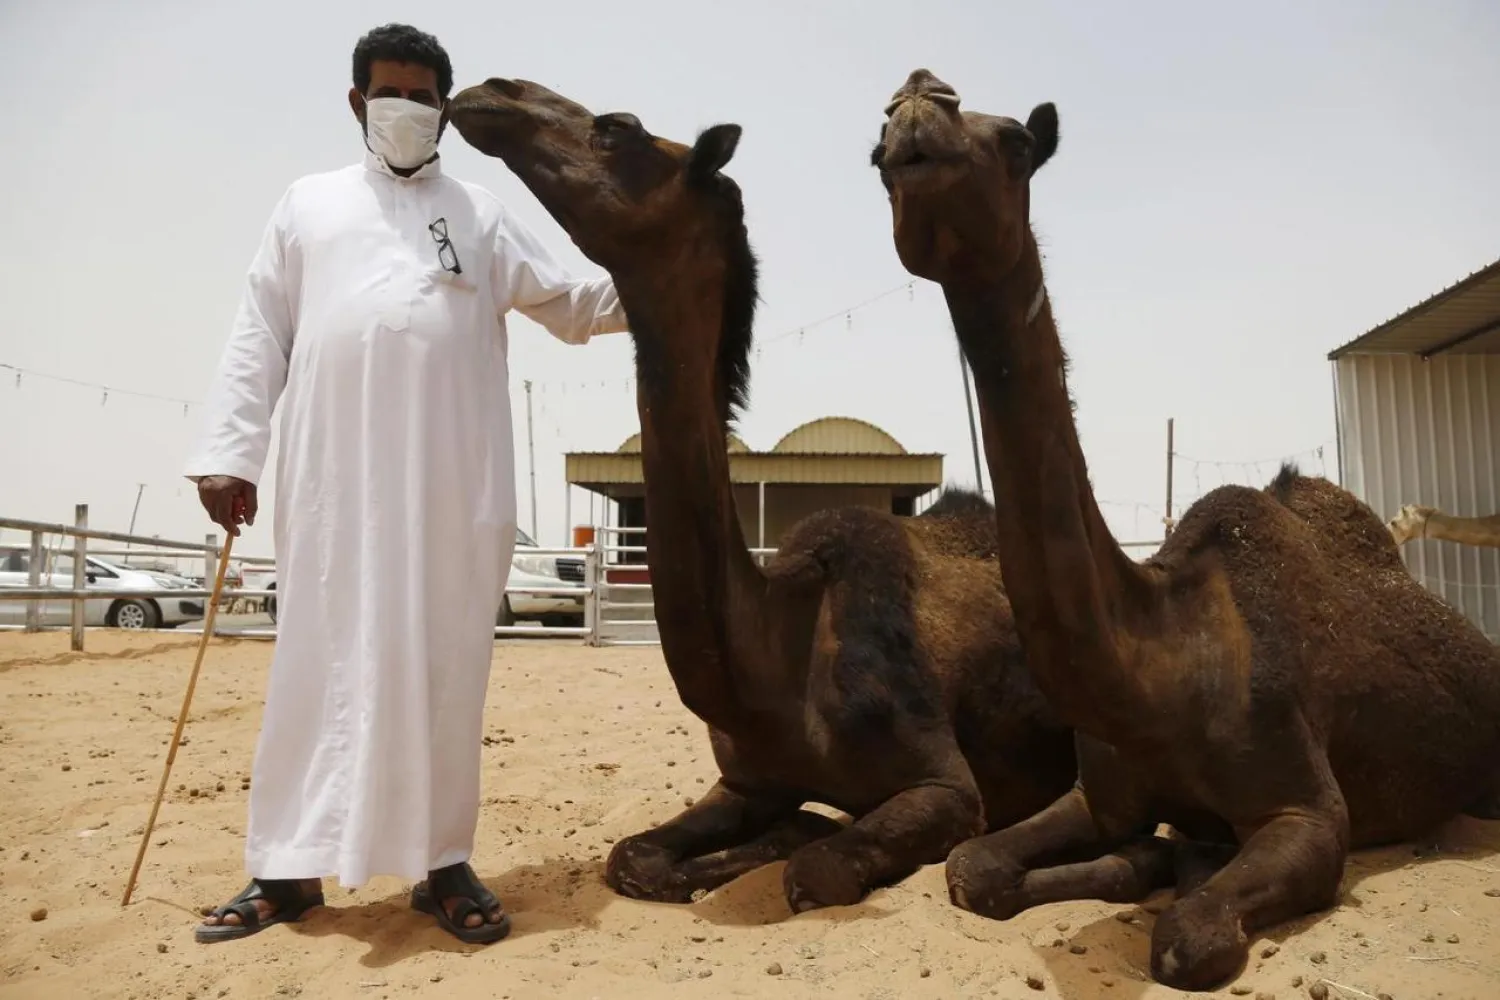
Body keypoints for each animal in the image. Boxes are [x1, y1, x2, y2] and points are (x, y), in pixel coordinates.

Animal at [448, 78, 1077, 912]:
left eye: (618, 130)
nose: (493, 93)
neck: (779, 651)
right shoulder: (744, 778)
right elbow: (631, 857)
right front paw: (770, 836)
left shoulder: (946, 785)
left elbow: (816, 870)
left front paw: (794, 842)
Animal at [871, 68, 1500, 990]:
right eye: (876, 152)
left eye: (1017, 140)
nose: (918, 97)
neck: (1168, 667)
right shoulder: (1098, 788)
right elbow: (973, 867)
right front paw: (1145, 858)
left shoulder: (1307, 810)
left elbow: (1186, 939)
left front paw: (1175, 874)